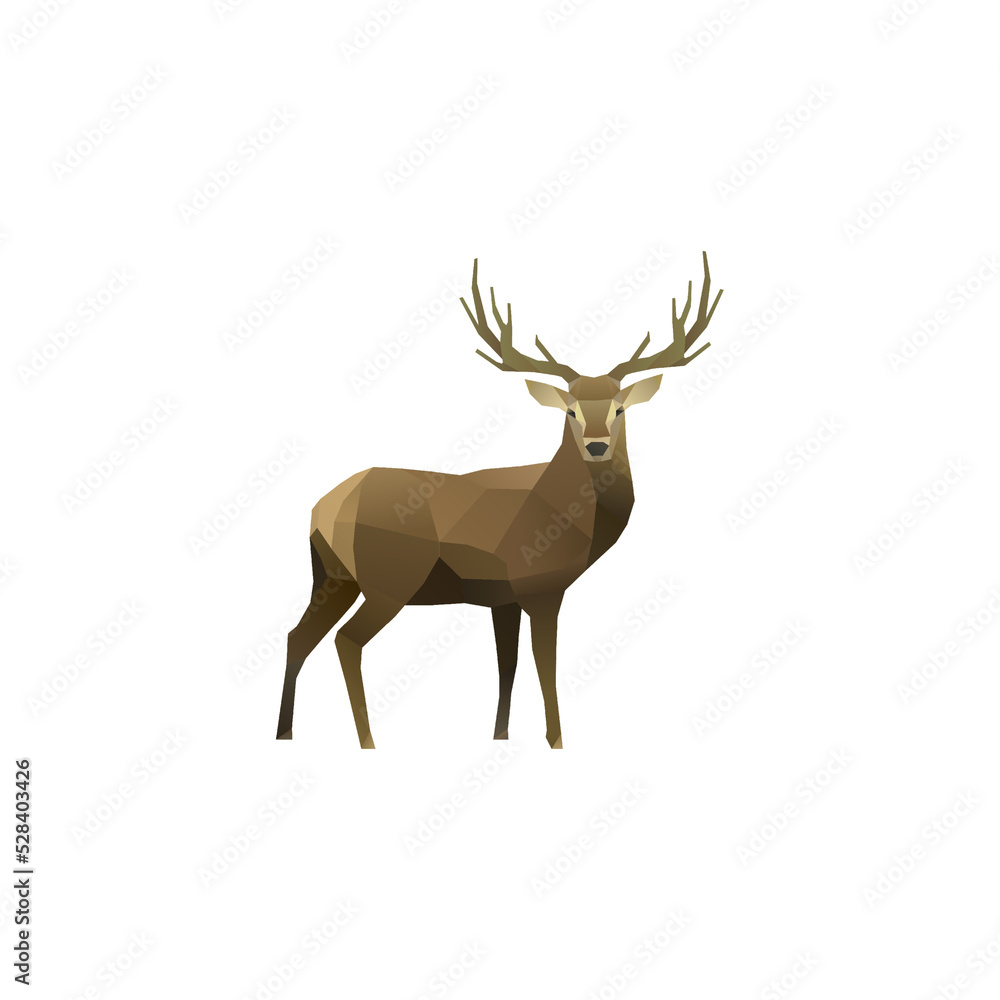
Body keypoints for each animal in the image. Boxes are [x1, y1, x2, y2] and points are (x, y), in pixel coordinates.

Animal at [276, 253, 722, 748]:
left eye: (619, 408)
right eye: (570, 410)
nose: (597, 445)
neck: (562, 514)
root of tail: (323, 510)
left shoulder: (500, 597)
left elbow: (506, 665)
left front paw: (500, 738)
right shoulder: (540, 587)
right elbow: (544, 668)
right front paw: (556, 741)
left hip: (332, 576)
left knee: (297, 636)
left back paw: (284, 734)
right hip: (389, 579)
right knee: (346, 641)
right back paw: (369, 742)